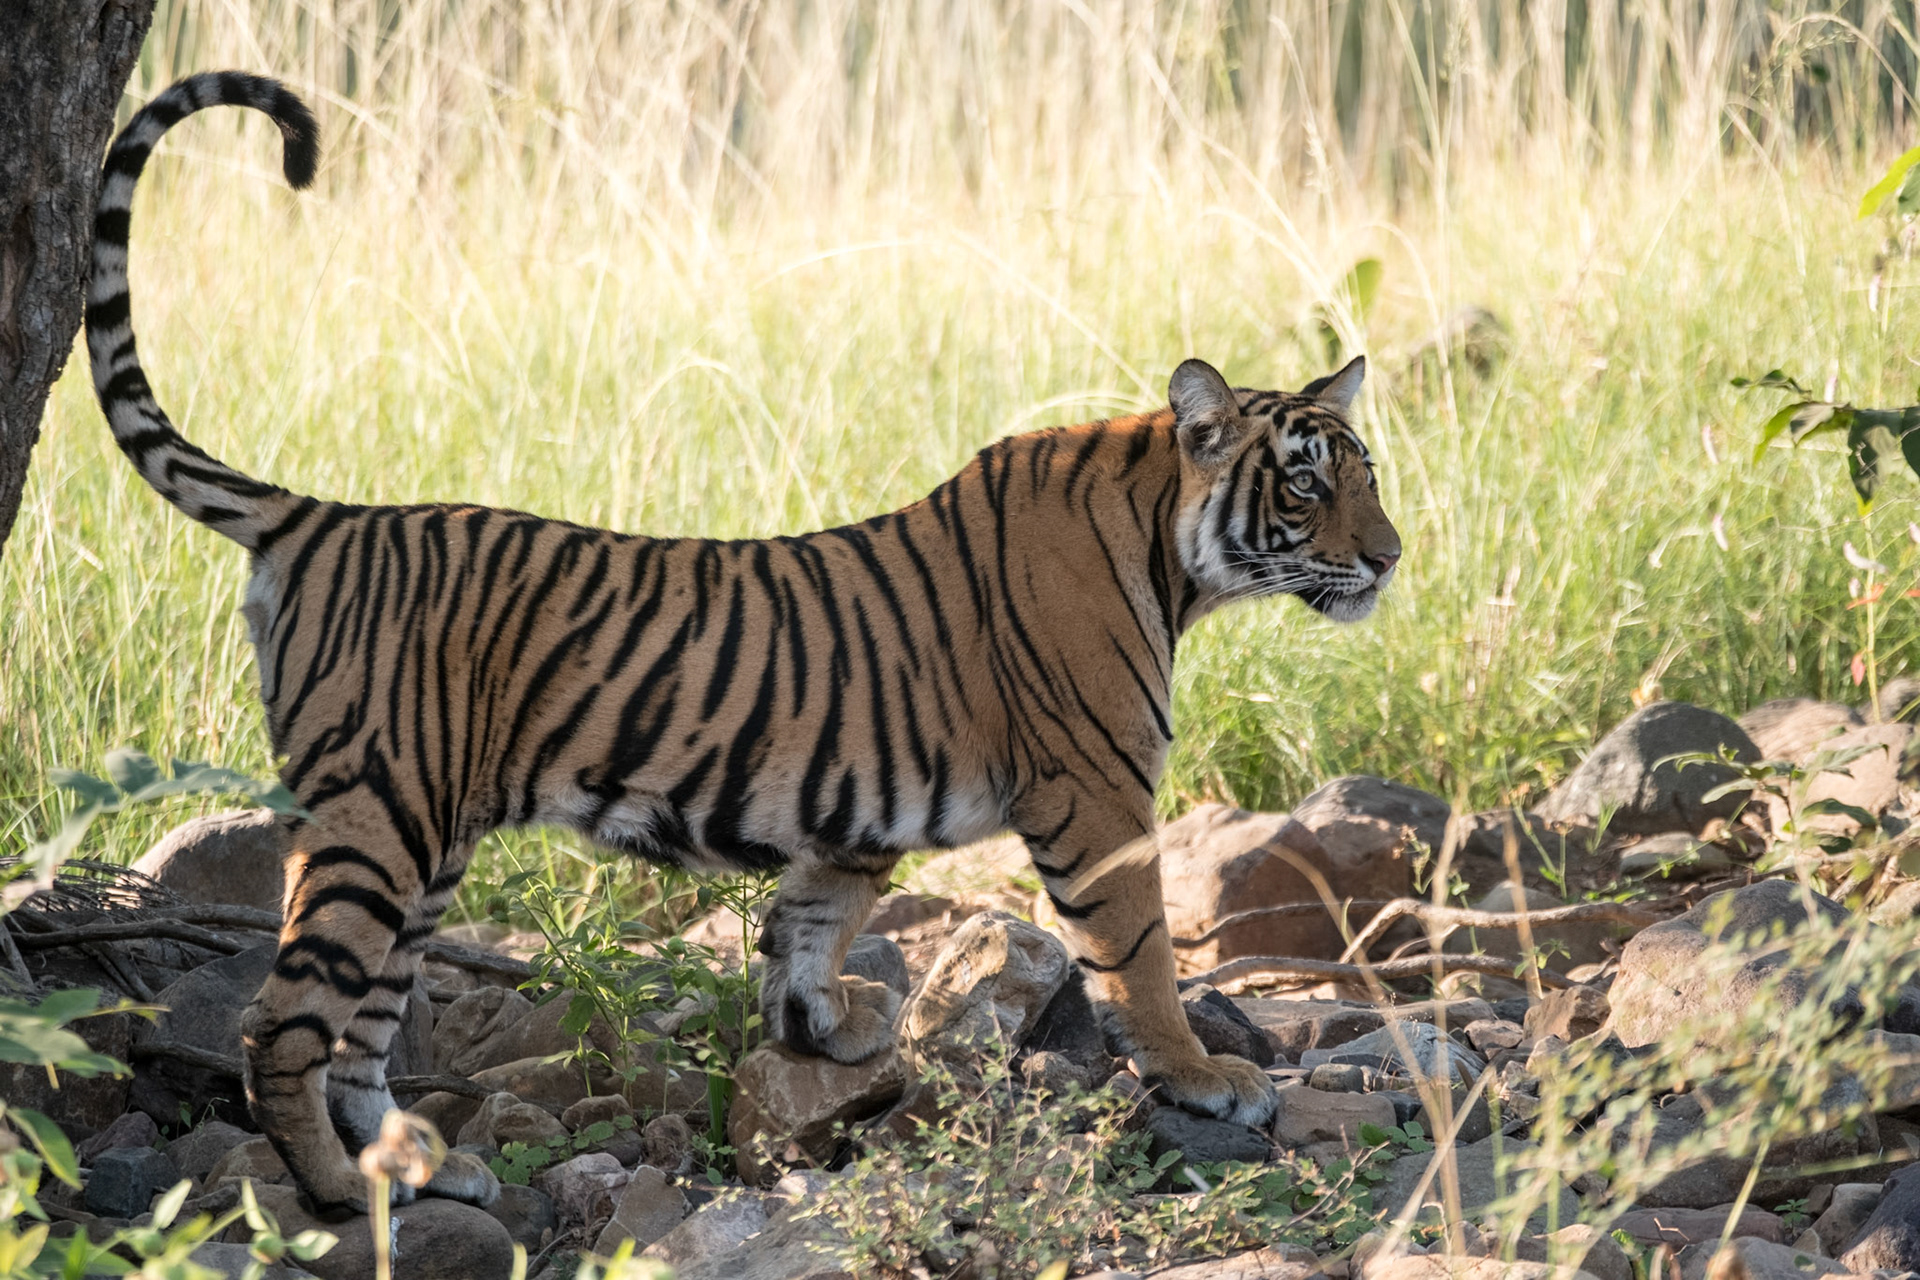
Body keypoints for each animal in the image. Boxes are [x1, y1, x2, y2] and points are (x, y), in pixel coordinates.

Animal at [85, 72, 1404, 1216]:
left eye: (1369, 474)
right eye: (1303, 483)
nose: (1391, 558)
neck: (1170, 549)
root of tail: (321, 513)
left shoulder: (858, 813)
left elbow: (811, 919)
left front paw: (824, 1025)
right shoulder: (1099, 795)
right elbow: (1143, 952)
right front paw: (1205, 1077)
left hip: (423, 840)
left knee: (362, 1024)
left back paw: (419, 1168)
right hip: (380, 815)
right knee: (283, 1022)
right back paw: (329, 1187)